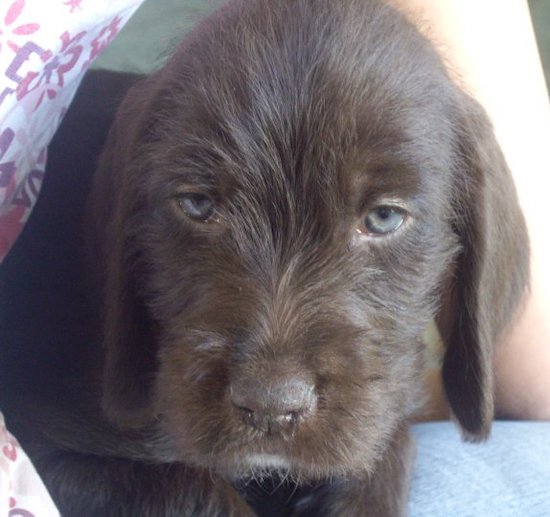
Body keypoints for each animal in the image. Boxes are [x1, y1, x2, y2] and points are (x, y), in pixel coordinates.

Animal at [1, 1, 536, 516]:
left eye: (384, 217)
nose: (271, 408)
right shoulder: (50, 450)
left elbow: (388, 439)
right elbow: (192, 489)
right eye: (198, 204)